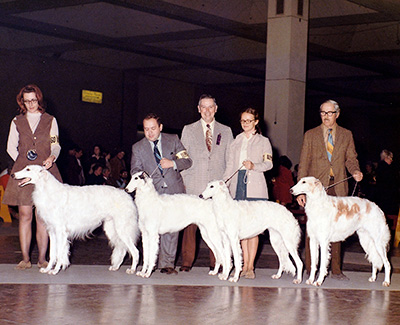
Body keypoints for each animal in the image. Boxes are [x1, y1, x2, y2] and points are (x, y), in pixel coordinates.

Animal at [12, 165, 140, 274]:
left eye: (28, 169)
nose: (13, 175)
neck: (49, 191)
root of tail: (127, 196)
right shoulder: (52, 231)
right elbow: (53, 254)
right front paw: (48, 269)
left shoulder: (60, 231)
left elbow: (59, 254)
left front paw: (55, 270)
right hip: (112, 228)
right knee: (123, 250)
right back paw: (115, 267)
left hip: (122, 228)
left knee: (135, 251)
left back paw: (132, 269)